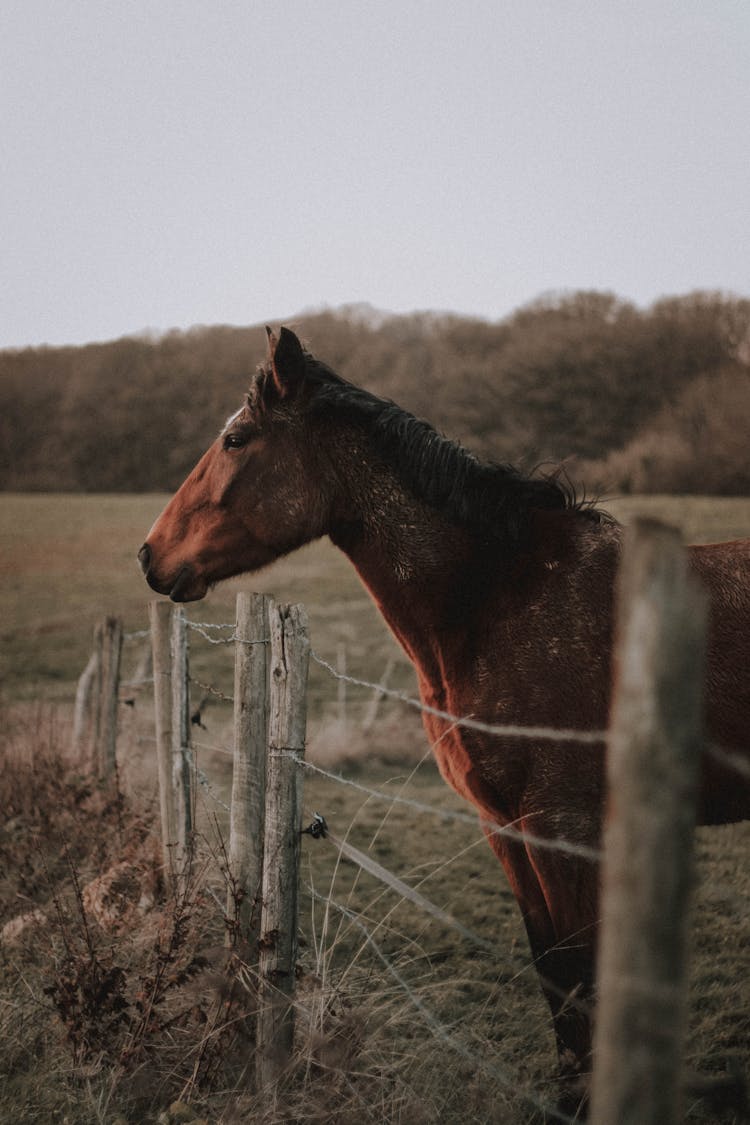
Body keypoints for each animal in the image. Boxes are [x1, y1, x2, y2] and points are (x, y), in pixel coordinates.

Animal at [139, 326, 750, 1116]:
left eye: (237, 439)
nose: (150, 555)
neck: (499, 598)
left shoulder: (565, 824)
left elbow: (581, 979)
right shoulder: (505, 826)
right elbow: (555, 975)